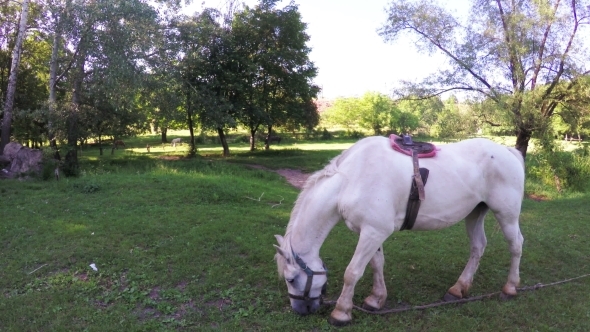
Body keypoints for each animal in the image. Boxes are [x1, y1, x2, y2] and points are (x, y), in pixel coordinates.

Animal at [276, 136, 524, 326]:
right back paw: (458, 288)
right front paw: (375, 300)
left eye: (290, 279)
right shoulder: (371, 232)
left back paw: (510, 287)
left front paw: (341, 312)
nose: (300, 310)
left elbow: (352, 272)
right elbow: (376, 264)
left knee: (516, 245)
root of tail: (509, 152)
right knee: (478, 246)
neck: (350, 180)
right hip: (475, 213)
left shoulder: (373, 232)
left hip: (507, 215)